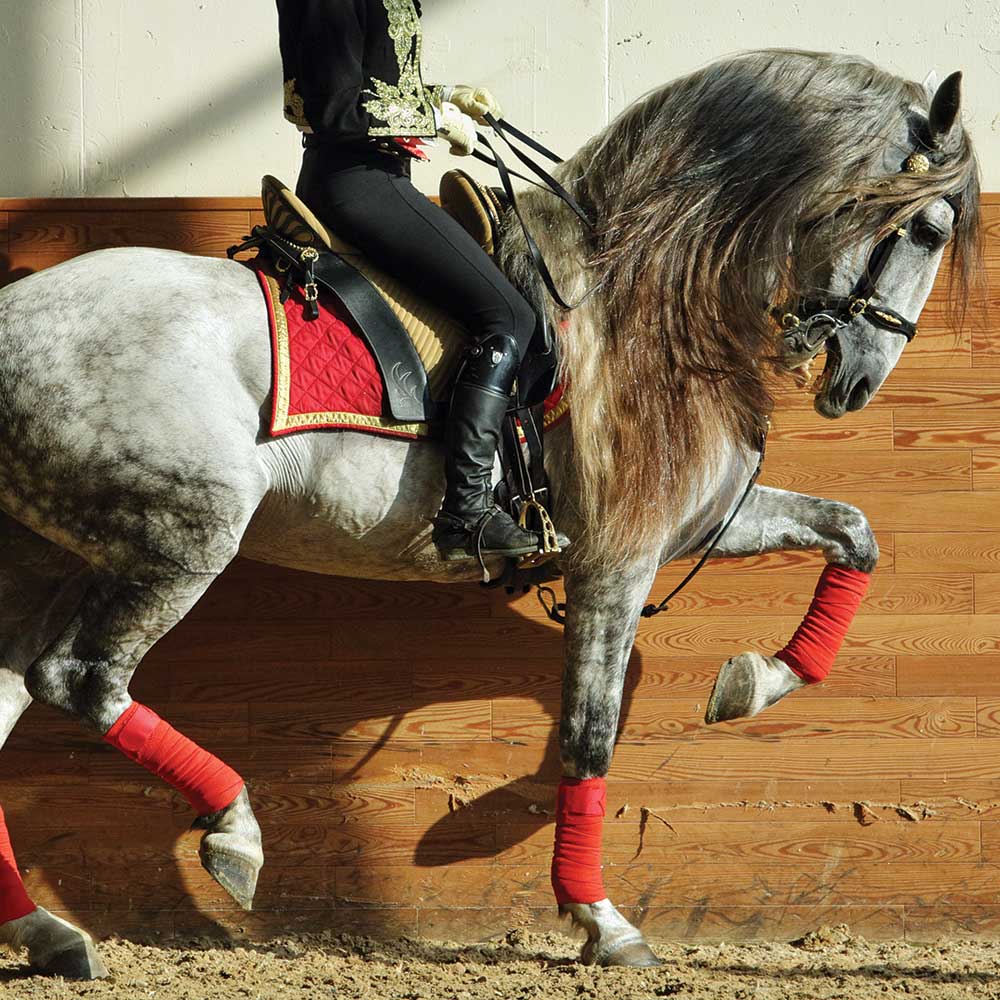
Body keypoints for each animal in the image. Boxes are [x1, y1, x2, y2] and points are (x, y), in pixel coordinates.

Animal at [0, 50, 981, 978]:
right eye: (928, 228)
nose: (861, 383)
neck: (648, 300)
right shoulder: (616, 558)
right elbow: (591, 733)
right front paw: (603, 922)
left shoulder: (699, 524)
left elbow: (854, 533)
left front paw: (754, 682)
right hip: (185, 540)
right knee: (80, 678)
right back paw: (232, 835)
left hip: (46, 555)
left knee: (11, 696)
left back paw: (48, 932)